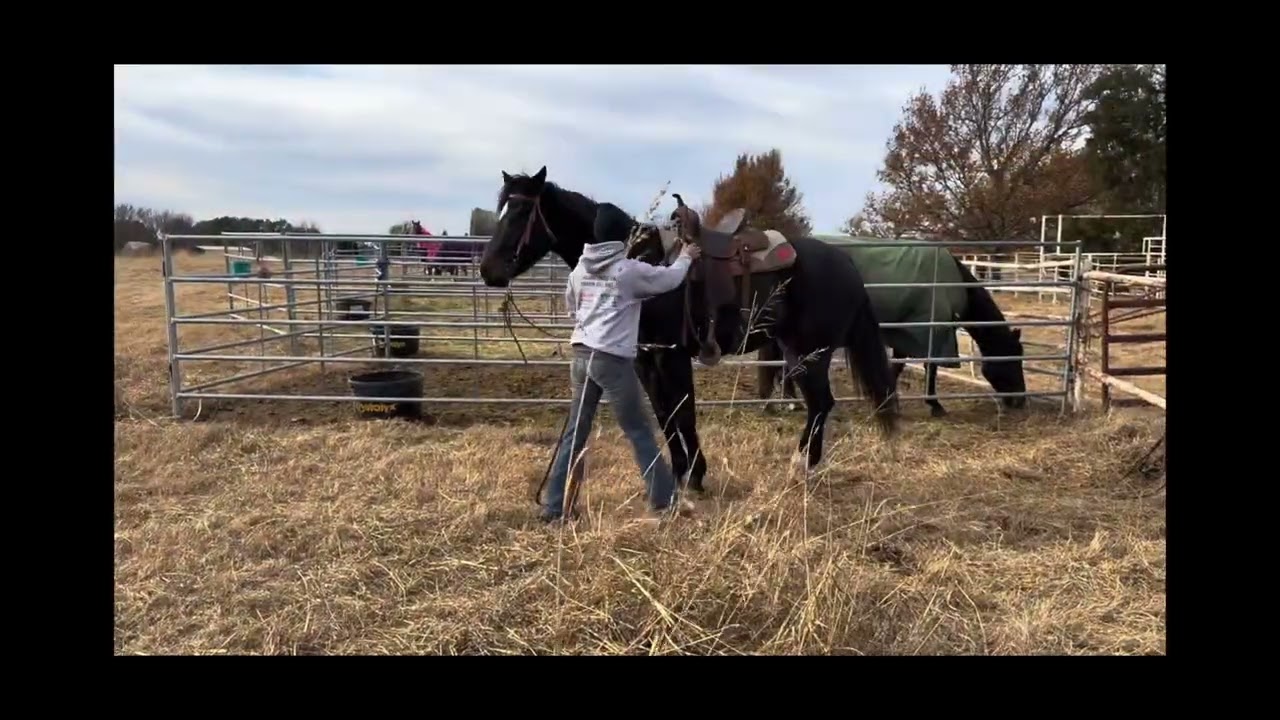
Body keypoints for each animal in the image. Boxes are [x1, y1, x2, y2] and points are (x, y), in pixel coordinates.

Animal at [477, 166, 900, 493]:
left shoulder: (672, 355)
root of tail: (846, 262)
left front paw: (695, 476)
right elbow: (665, 414)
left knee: (820, 404)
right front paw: (681, 472)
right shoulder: (646, 359)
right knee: (819, 405)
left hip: (810, 353)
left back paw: (800, 467)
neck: (641, 260)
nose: (488, 270)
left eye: (520, 213)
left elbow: (683, 413)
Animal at [757, 239, 1027, 417]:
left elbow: (897, 367)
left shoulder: (904, 333)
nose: (1019, 401)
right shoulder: (930, 330)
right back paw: (788, 402)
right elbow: (930, 368)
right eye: (1013, 359)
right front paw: (935, 405)